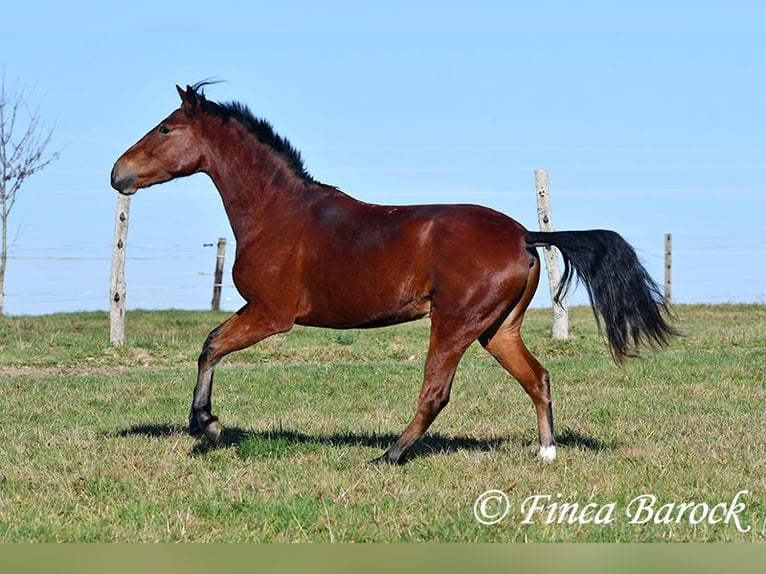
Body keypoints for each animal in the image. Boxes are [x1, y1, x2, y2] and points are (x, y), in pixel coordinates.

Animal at [109, 83, 680, 466]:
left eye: (165, 128)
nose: (118, 174)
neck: (278, 214)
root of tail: (524, 235)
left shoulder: (272, 314)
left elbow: (210, 344)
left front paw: (206, 426)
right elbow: (210, 344)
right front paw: (204, 424)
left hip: (454, 324)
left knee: (435, 393)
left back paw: (389, 455)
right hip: (497, 329)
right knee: (537, 377)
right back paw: (546, 453)